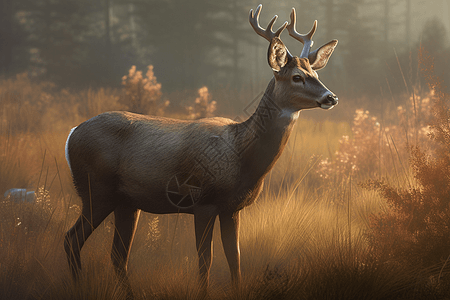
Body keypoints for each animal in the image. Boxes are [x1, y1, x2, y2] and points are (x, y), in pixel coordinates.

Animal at [63, 4, 338, 298]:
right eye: (297, 77)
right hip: (95, 190)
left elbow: (235, 258)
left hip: (126, 202)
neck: (241, 154)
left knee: (117, 254)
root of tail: (72, 134)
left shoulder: (232, 209)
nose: (331, 97)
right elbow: (205, 259)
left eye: (316, 75)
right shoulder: (202, 200)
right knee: (72, 239)